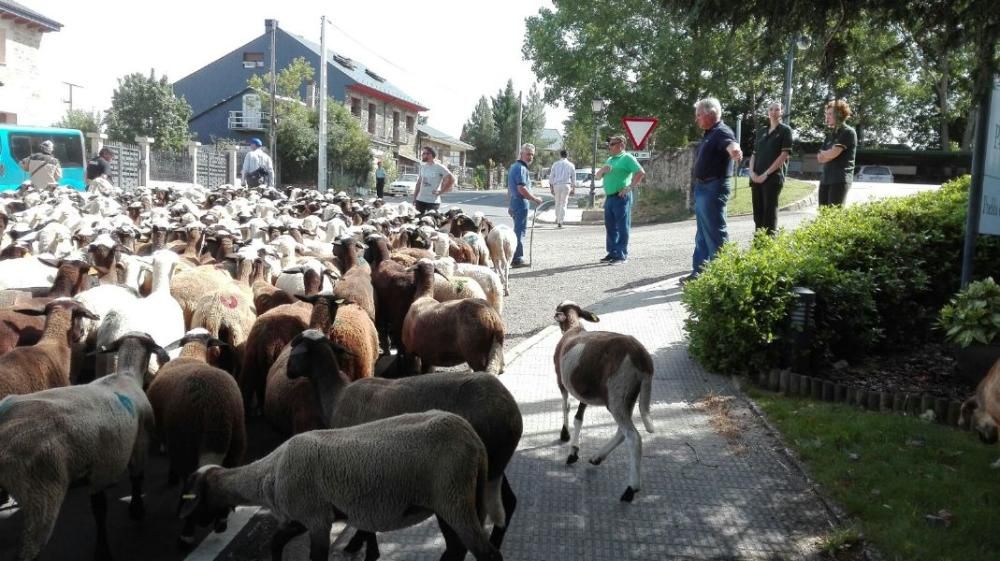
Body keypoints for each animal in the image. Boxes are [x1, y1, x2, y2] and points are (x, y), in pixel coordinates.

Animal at [0, 330, 166, 560]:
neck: (126, 375)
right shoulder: (137, 443)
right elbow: (132, 482)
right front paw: (135, 511)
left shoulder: (101, 467)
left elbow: (99, 507)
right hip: (41, 491)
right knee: (28, 550)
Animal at [146, 328, 245, 544]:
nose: (206, 522)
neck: (192, 353)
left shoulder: (179, 444)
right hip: (236, 444)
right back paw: (220, 522)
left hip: (185, 442)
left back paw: (187, 533)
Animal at [179, 406, 500, 560]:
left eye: (195, 498)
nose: (187, 532)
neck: (269, 473)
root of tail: (474, 441)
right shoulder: (303, 518)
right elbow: (275, 542)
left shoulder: (316, 518)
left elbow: (315, 557)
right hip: (450, 502)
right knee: (457, 550)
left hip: (454, 498)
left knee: (486, 553)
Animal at [288, 328, 520, 556]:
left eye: (294, 350)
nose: (288, 372)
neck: (335, 396)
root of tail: (511, 410)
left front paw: (358, 542)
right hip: (494, 465)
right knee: (509, 502)